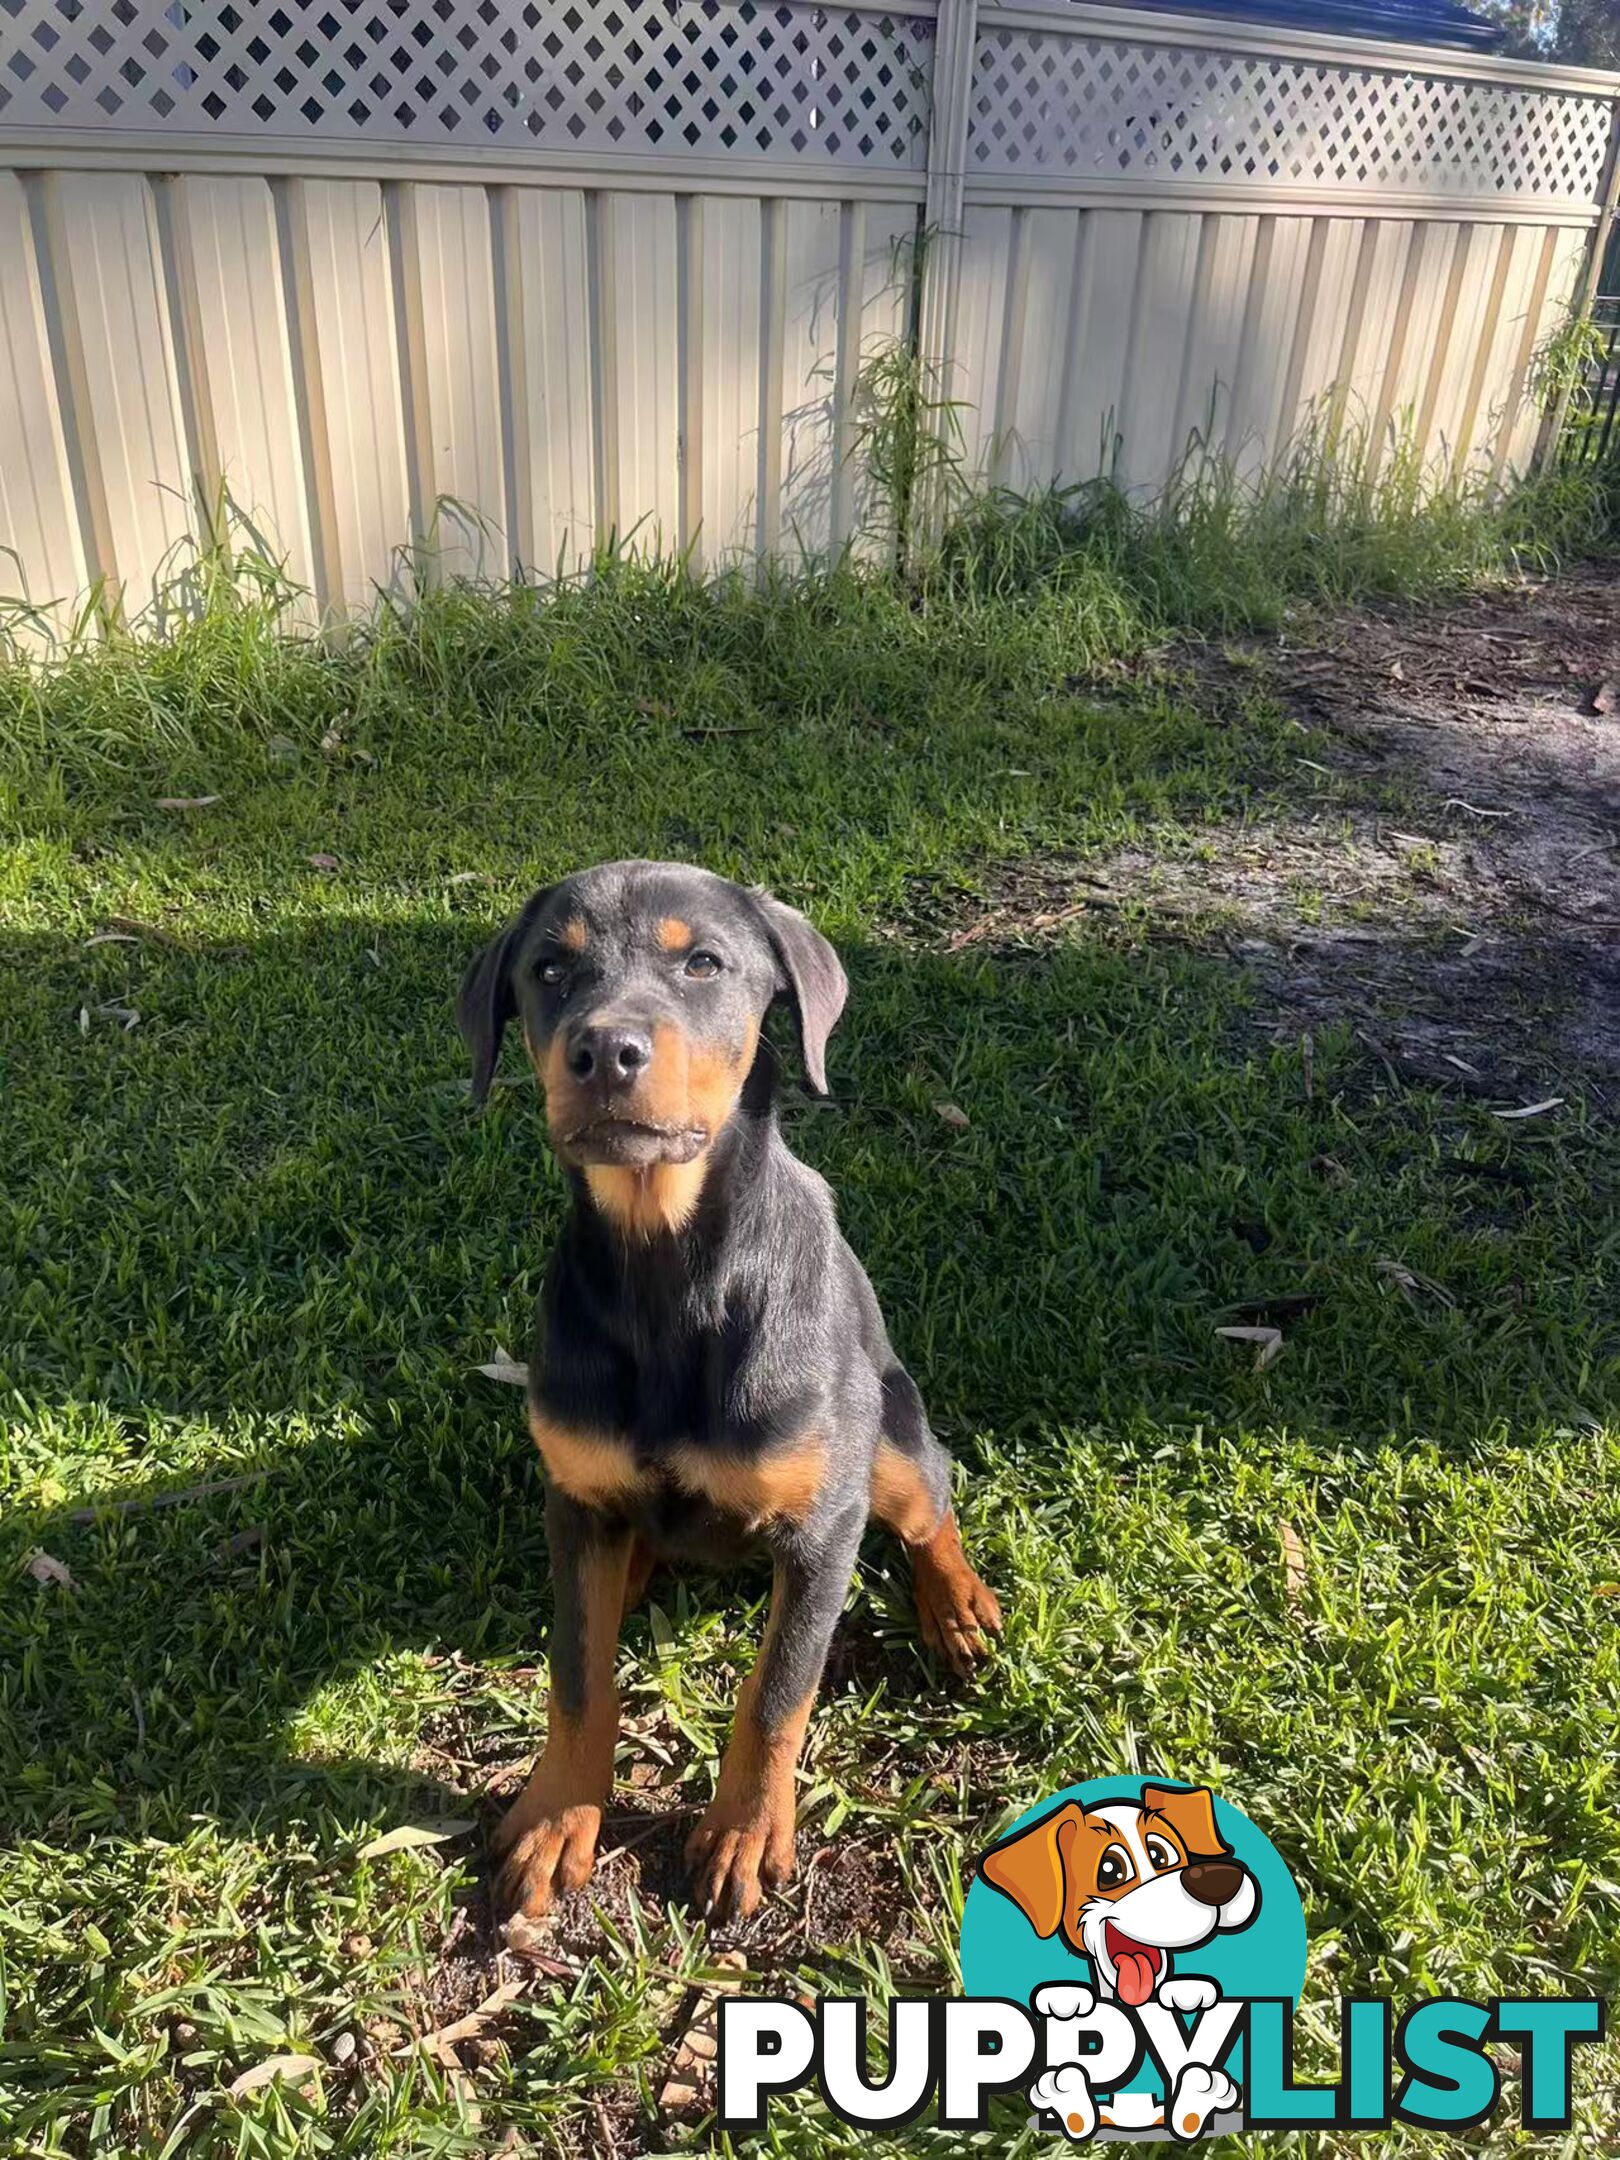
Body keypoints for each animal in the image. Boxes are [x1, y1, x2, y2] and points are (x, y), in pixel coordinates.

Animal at [457, 859, 1002, 1926]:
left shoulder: (823, 1529)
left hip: (887, 1438)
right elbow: (577, 1676)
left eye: (703, 963)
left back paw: (959, 1609)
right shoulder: (574, 1501)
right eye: (550, 970)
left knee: (931, 1505)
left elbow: (779, 1690)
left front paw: (745, 1833)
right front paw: (556, 1820)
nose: (604, 1052)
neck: (670, 1275)